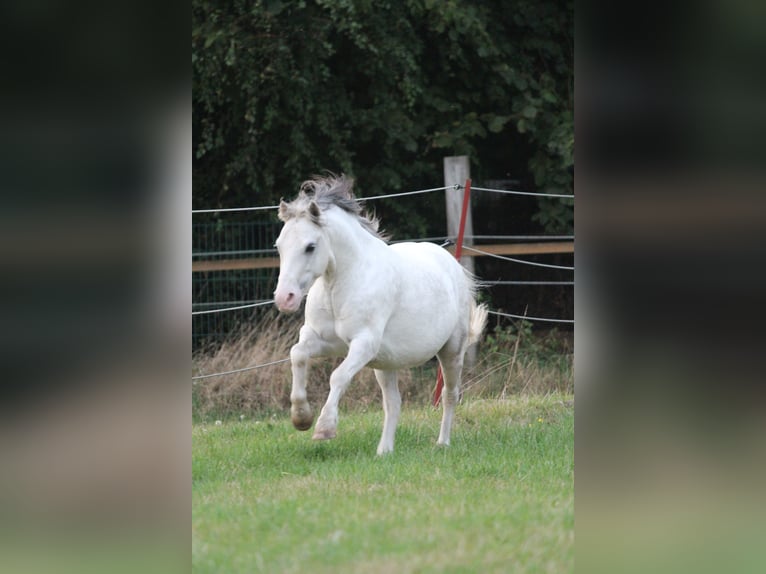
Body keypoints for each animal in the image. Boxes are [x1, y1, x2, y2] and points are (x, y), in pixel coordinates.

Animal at [273, 174, 487, 455]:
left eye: (310, 247)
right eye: (279, 246)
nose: (284, 298)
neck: (340, 283)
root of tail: (453, 265)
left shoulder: (364, 344)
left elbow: (337, 376)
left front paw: (324, 428)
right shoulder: (321, 340)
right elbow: (297, 355)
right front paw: (301, 418)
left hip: (451, 351)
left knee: (449, 395)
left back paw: (442, 443)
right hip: (386, 363)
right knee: (393, 403)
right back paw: (384, 452)